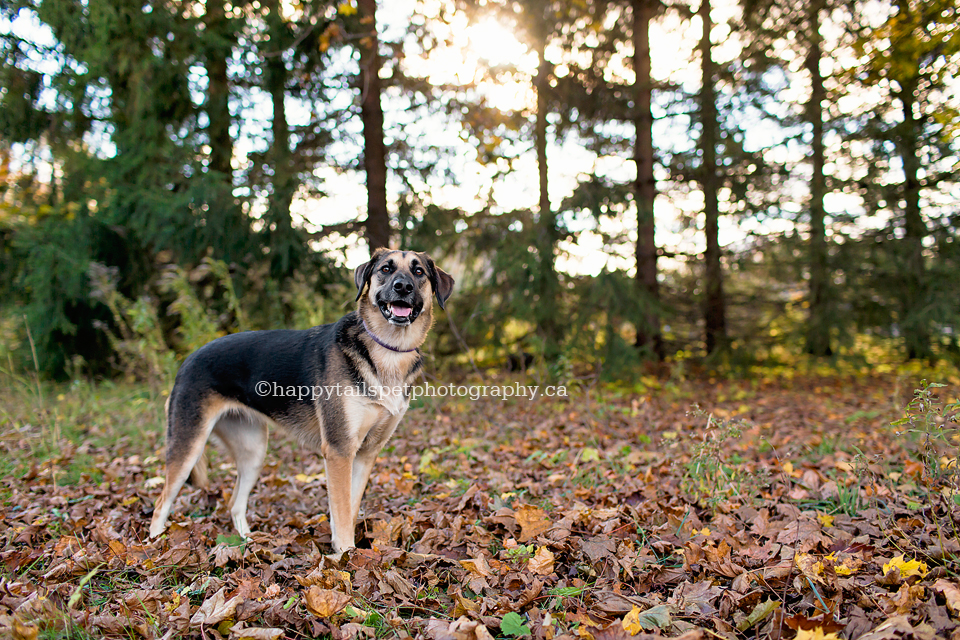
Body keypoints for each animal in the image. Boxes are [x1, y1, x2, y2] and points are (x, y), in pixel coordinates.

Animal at [147, 249, 454, 556]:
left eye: (418, 272)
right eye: (386, 269)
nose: (403, 287)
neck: (386, 350)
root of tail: (186, 361)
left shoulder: (366, 453)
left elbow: (349, 507)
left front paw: (346, 552)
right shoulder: (339, 451)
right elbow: (342, 510)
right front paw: (345, 556)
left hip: (254, 452)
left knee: (234, 504)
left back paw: (248, 543)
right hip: (189, 447)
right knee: (161, 504)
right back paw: (156, 544)